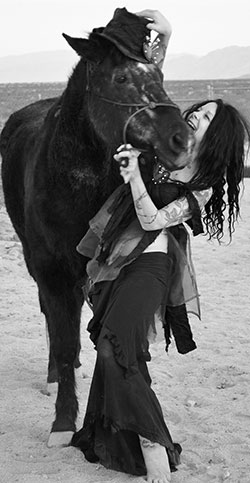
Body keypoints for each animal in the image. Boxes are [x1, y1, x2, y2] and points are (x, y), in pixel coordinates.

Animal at [0, 10, 192, 446]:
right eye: (120, 78)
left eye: (159, 72)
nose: (183, 139)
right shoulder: (52, 273)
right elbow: (64, 339)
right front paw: (62, 423)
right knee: (53, 321)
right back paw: (54, 376)